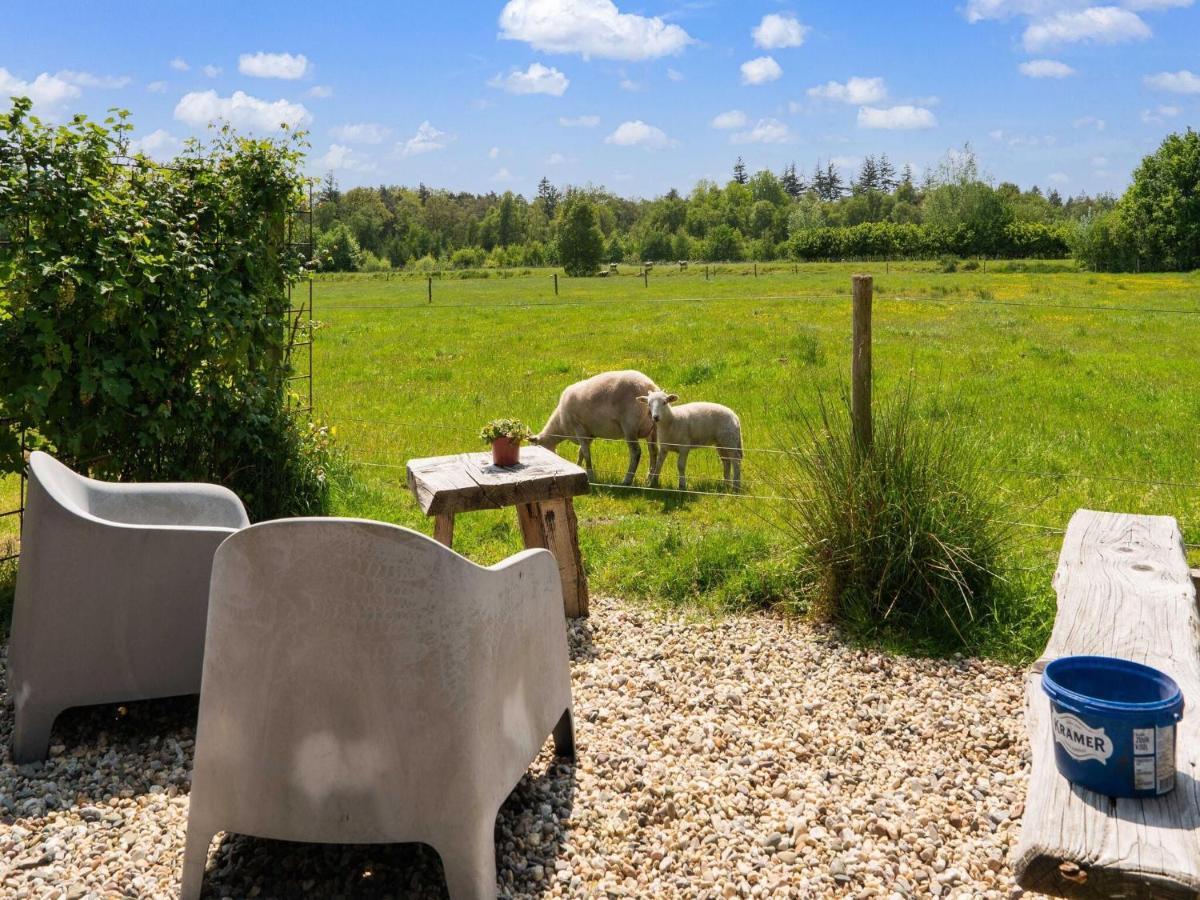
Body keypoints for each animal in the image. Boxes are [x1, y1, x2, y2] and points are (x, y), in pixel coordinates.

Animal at [532, 372, 662, 489]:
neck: (560, 424)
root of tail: (651, 386)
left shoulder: (579, 429)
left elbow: (586, 454)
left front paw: (591, 477)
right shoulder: (589, 434)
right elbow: (581, 453)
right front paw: (577, 467)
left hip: (630, 426)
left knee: (636, 452)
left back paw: (627, 481)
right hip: (653, 428)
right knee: (653, 451)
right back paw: (649, 479)